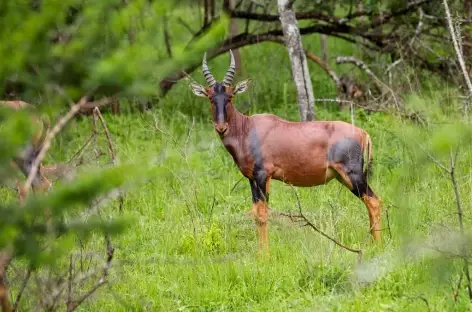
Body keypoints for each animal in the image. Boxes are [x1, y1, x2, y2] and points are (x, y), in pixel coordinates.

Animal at [186, 50, 382, 252]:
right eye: (210, 97)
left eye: (230, 96)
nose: (221, 128)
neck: (248, 128)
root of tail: (363, 133)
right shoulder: (252, 179)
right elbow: (256, 213)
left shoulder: (263, 175)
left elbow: (262, 214)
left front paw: (264, 255)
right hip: (343, 177)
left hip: (353, 174)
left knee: (374, 201)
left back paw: (378, 246)